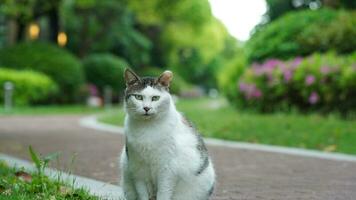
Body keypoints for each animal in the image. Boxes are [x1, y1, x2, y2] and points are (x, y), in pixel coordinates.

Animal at [119, 68, 214, 199]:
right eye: (138, 97)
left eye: (155, 98)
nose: (146, 108)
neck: (147, 128)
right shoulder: (138, 169)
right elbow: (143, 194)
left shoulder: (167, 170)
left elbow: (163, 193)